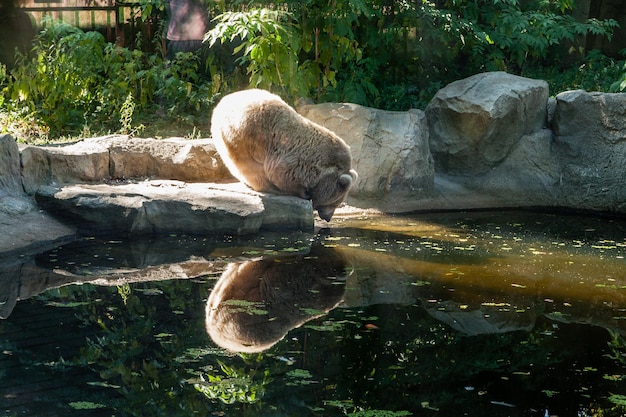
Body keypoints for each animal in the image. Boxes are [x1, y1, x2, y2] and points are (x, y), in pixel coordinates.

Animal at [210, 88, 356, 221]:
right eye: (335, 202)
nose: (328, 217)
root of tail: (223, 101)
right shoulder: (292, 160)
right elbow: (282, 175)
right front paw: (301, 193)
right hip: (245, 135)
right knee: (249, 166)